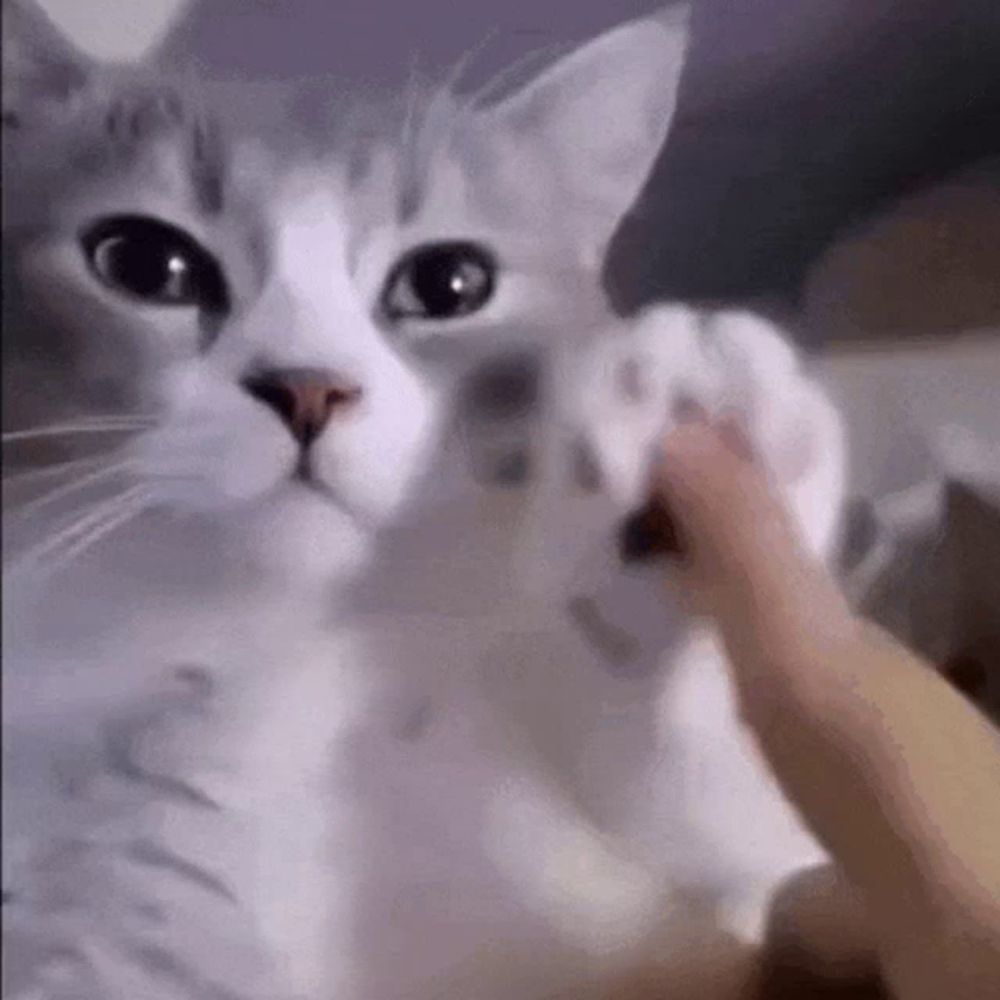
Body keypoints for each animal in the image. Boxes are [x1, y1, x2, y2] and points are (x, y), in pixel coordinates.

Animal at [3, 1, 844, 1000]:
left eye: (448, 283)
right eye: (145, 264)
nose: (309, 387)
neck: (273, 657)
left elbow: (737, 816)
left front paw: (677, 475)